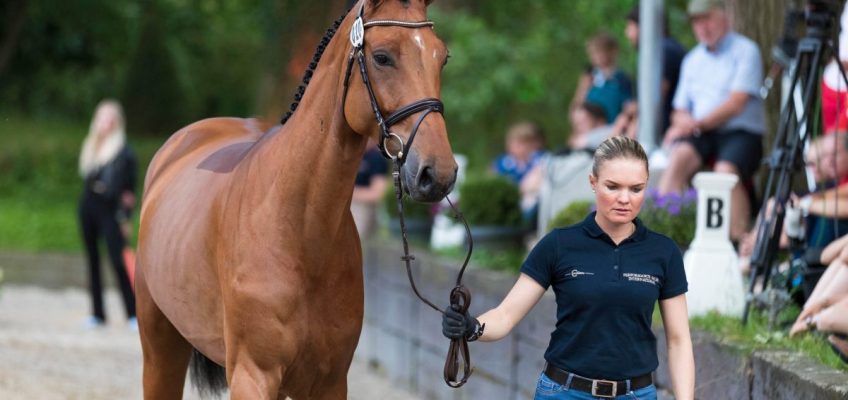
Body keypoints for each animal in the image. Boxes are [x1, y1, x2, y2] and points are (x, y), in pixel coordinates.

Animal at [137, 1, 458, 398]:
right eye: (382, 57)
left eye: (442, 57)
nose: (438, 173)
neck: (298, 232)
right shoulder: (252, 374)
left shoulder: (329, 380)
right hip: (160, 345)